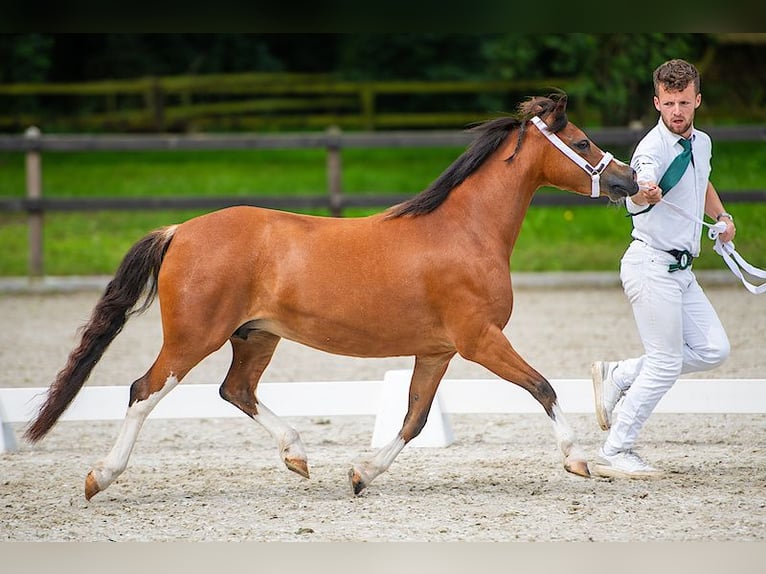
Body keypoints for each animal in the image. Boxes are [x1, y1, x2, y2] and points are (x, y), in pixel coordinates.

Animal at [24, 93, 640, 500]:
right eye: (582, 142)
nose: (628, 181)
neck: (464, 230)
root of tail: (179, 230)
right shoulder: (480, 340)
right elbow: (542, 386)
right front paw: (578, 462)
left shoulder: (437, 350)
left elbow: (415, 418)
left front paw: (362, 474)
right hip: (193, 338)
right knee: (143, 391)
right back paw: (99, 477)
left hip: (255, 337)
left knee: (235, 390)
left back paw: (297, 456)